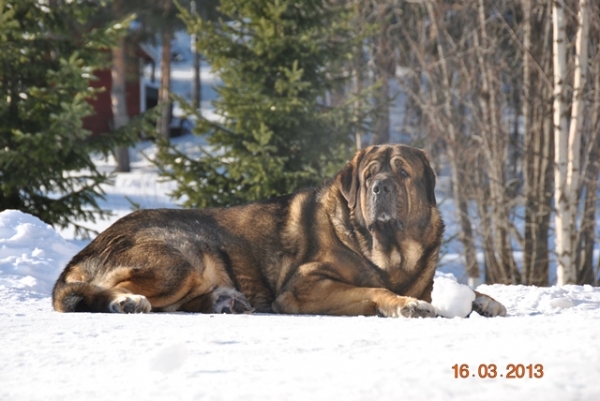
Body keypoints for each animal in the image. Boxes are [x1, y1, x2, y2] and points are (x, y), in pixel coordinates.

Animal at [51, 144, 506, 316]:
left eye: (403, 173)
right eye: (369, 175)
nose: (381, 187)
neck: (387, 250)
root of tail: (88, 247)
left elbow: (461, 291)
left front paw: (484, 301)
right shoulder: (303, 288)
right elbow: (373, 289)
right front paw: (403, 304)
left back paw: (224, 302)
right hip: (179, 259)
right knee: (94, 291)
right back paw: (126, 302)